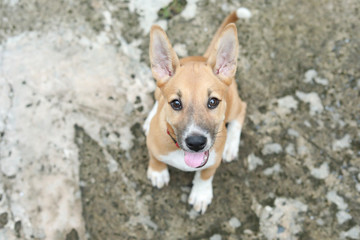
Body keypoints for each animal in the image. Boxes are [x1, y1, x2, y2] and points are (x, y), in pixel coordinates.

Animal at [143, 8, 248, 214]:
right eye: (176, 103)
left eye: (213, 102)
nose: (196, 143)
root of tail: (204, 58)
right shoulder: (153, 142)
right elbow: (154, 156)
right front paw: (158, 171)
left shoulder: (213, 160)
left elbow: (205, 174)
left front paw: (201, 194)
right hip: (158, 90)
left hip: (233, 105)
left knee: (242, 109)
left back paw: (231, 145)